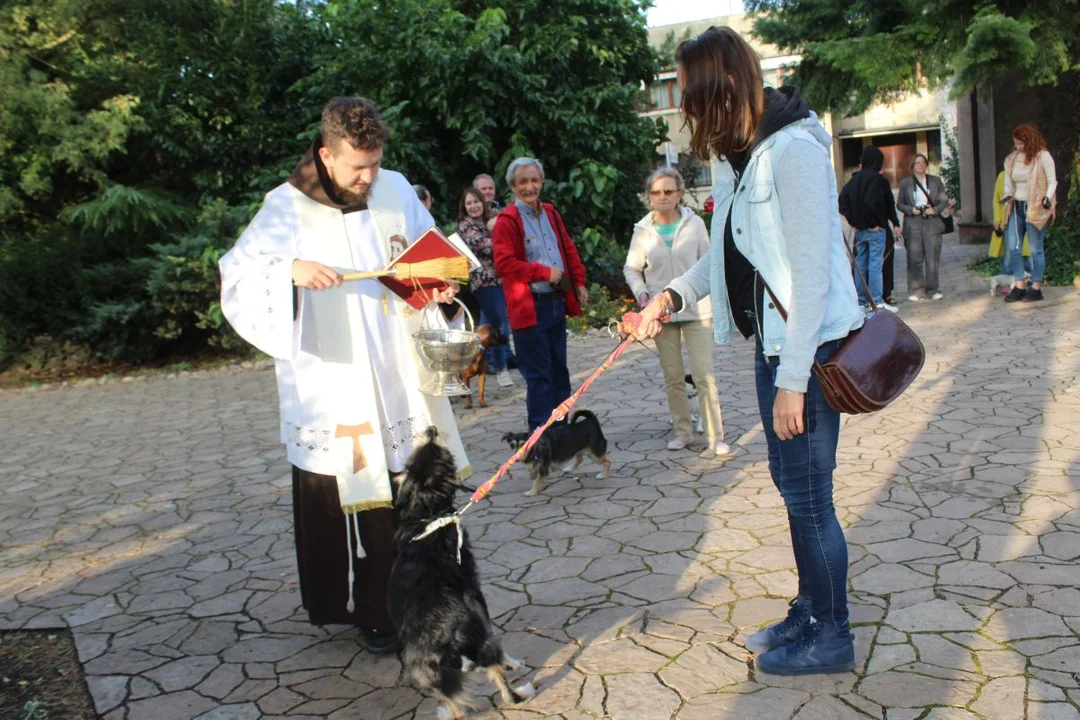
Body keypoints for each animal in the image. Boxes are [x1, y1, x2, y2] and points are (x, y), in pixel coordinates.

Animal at [390, 431, 537, 716]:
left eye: (411, 461)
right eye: (444, 455)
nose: (432, 430)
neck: (427, 517)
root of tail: (439, 646)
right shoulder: (475, 594)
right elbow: (497, 640)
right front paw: (514, 663)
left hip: (426, 676)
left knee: (455, 703)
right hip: (479, 644)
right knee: (501, 682)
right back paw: (521, 693)